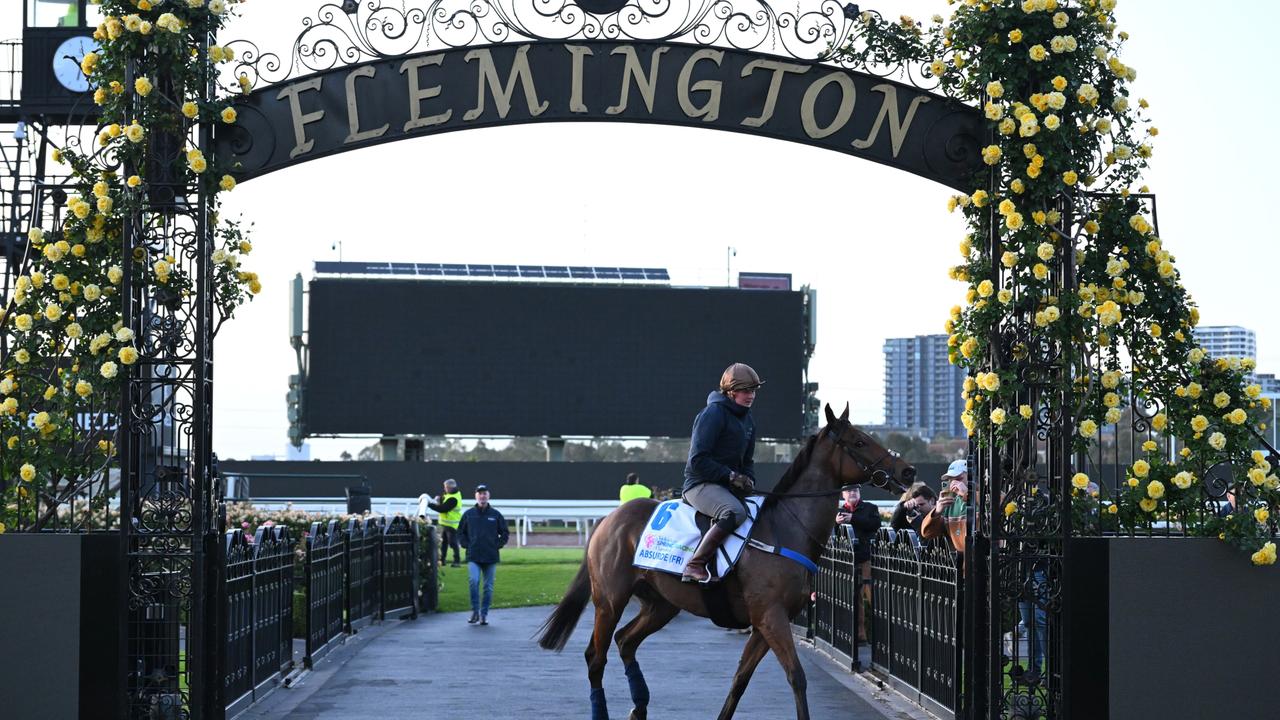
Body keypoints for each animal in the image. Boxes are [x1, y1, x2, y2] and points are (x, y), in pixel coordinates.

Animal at [535, 404, 916, 717]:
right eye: (860, 441)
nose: (908, 471)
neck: (786, 527)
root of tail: (608, 520)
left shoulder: (763, 624)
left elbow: (740, 679)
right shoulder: (771, 617)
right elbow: (797, 676)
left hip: (661, 604)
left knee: (626, 640)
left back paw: (640, 706)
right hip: (610, 600)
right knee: (595, 657)